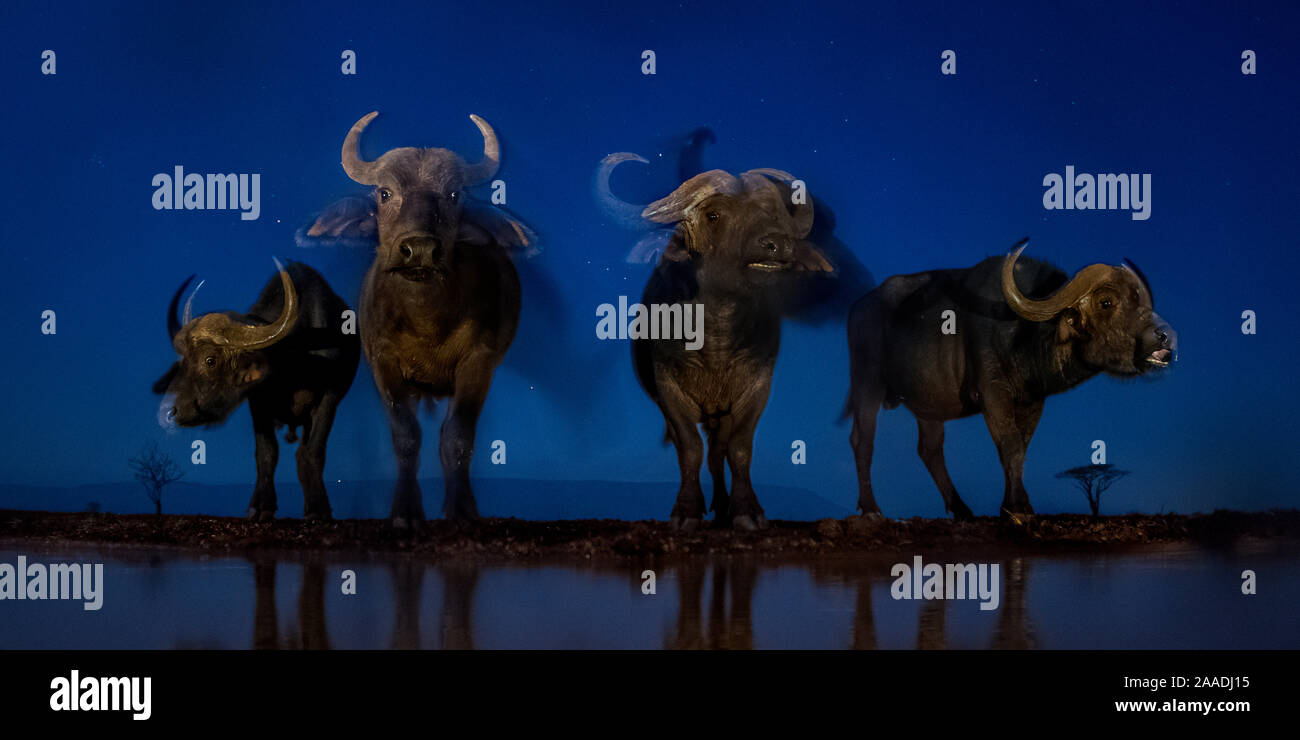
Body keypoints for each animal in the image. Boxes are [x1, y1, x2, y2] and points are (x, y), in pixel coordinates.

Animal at [156, 260, 361, 520]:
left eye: (210, 360)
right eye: (182, 363)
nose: (171, 412)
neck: (295, 361)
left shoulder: (329, 398)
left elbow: (313, 452)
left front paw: (318, 509)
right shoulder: (258, 403)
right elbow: (266, 454)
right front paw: (261, 507)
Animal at [306, 112, 535, 525]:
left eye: (455, 194)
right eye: (384, 193)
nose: (421, 249)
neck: (428, 322)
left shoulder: (478, 363)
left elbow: (457, 438)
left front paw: (461, 510)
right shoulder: (383, 363)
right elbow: (406, 437)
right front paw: (405, 511)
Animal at [600, 163, 826, 528]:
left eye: (773, 215)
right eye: (714, 215)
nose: (777, 244)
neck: (716, 337)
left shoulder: (757, 387)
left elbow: (740, 449)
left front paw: (747, 510)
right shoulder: (668, 388)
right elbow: (690, 449)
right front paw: (686, 511)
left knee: (719, 452)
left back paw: (722, 508)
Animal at [847, 239, 1175, 517]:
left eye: (1143, 301)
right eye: (1106, 302)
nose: (1165, 337)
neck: (1024, 333)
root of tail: (860, 308)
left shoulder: (1032, 399)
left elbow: (1021, 448)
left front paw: (1013, 505)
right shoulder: (992, 393)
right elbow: (1010, 445)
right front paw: (1018, 506)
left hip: (929, 404)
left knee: (930, 449)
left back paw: (962, 509)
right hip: (867, 383)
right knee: (863, 440)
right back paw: (871, 508)